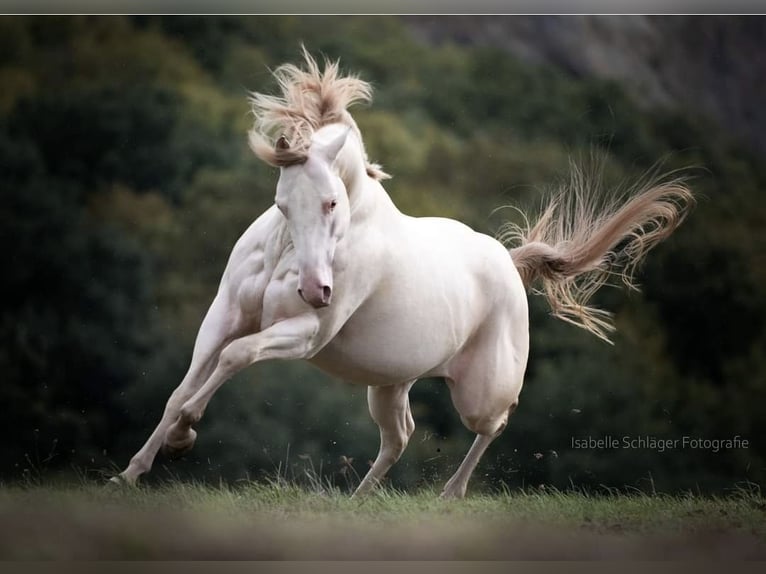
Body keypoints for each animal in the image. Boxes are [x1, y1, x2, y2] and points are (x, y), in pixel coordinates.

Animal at [113, 48, 694, 498]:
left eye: (331, 202)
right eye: (281, 204)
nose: (316, 289)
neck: (287, 255)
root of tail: (509, 265)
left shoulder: (306, 333)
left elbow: (234, 359)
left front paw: (184, 437)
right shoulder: (226, 314)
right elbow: (184, 387)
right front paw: (132, 472)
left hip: (479, 391)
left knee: (495, 422)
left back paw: (450, 493)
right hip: (390, 383)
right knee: (400, 435)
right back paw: (358, 501)